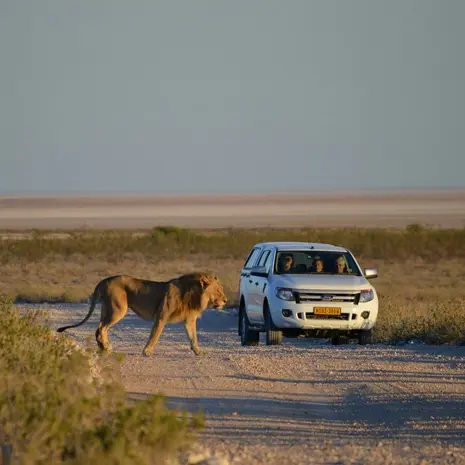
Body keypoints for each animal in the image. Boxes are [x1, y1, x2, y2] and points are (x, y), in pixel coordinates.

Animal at [57, 272, 227, 356]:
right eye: (218, 291)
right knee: (101, 328)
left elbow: (193, 338)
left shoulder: (189, 320)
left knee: (98, 328)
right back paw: (105, 347)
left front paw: (199, 352)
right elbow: (154, 335)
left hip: (107, 309)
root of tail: (103, 281)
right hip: (118, 309)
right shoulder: (161, 316)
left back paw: (103, 346)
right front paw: (147, 351)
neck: (194, 294)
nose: (226, 300)